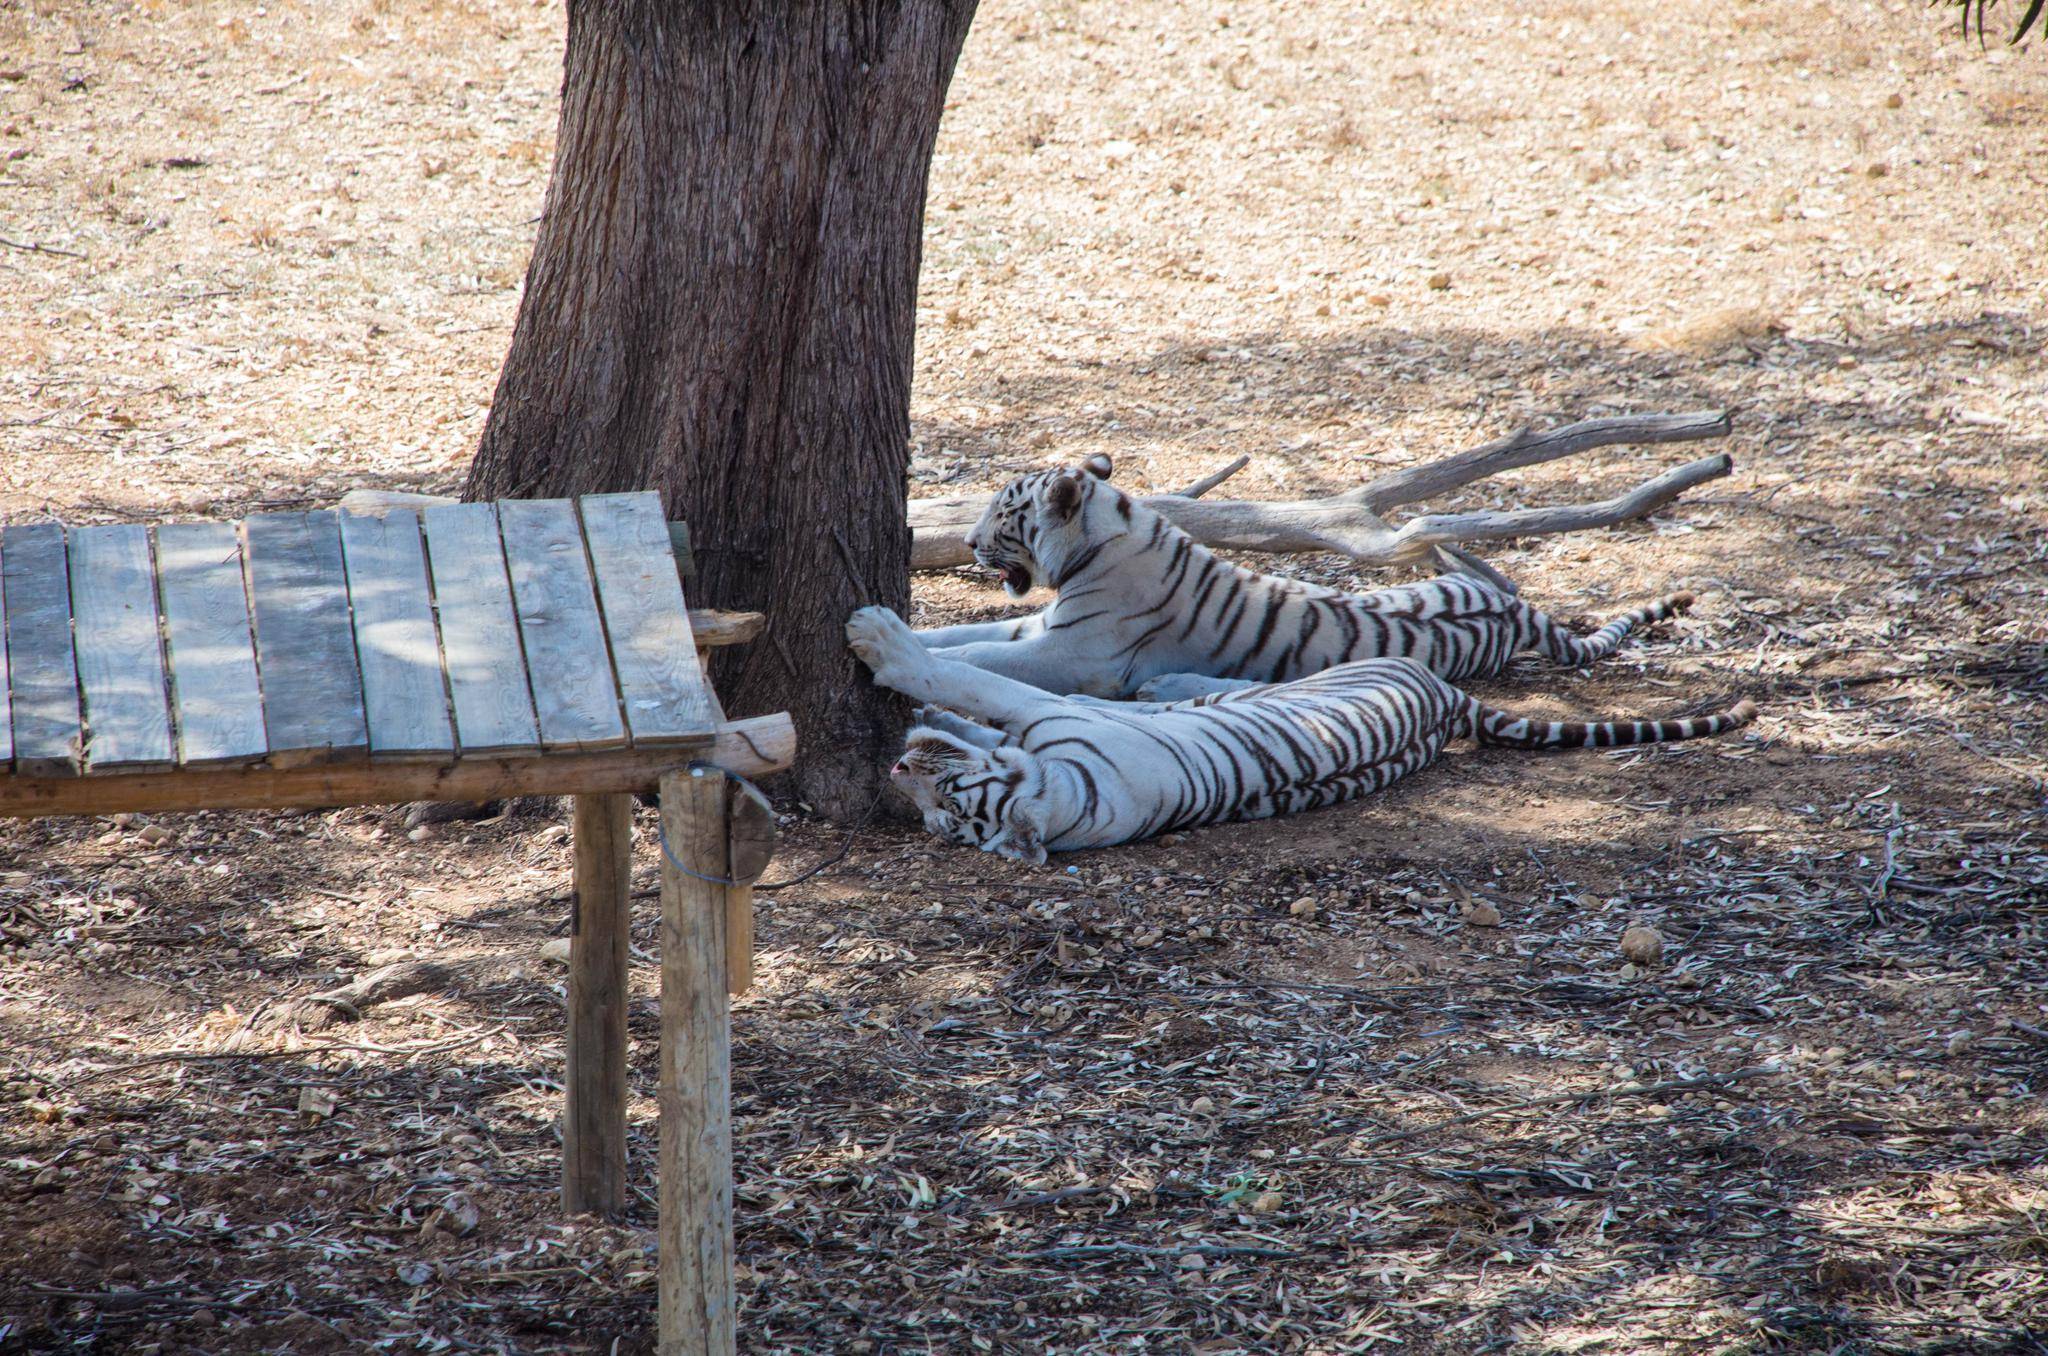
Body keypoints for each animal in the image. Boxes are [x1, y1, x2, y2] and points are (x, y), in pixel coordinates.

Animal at [847, 606, 1761, 864]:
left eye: (951, 799)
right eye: (938, 823)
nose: (895, 769)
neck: (1076, 803)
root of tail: (1447, 698)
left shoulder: (1053, 719)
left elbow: (975, 686)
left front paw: (884, 646)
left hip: (1311, 679)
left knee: (1211, 686)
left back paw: (1163, 684)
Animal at [921, 456, 1703, 700]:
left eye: (1004, 514)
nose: (967, 542)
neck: (1100, 537)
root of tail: (1515, 613)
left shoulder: (1075, 652)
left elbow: (984, 655)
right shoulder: (1043, 621)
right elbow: (968, 634)